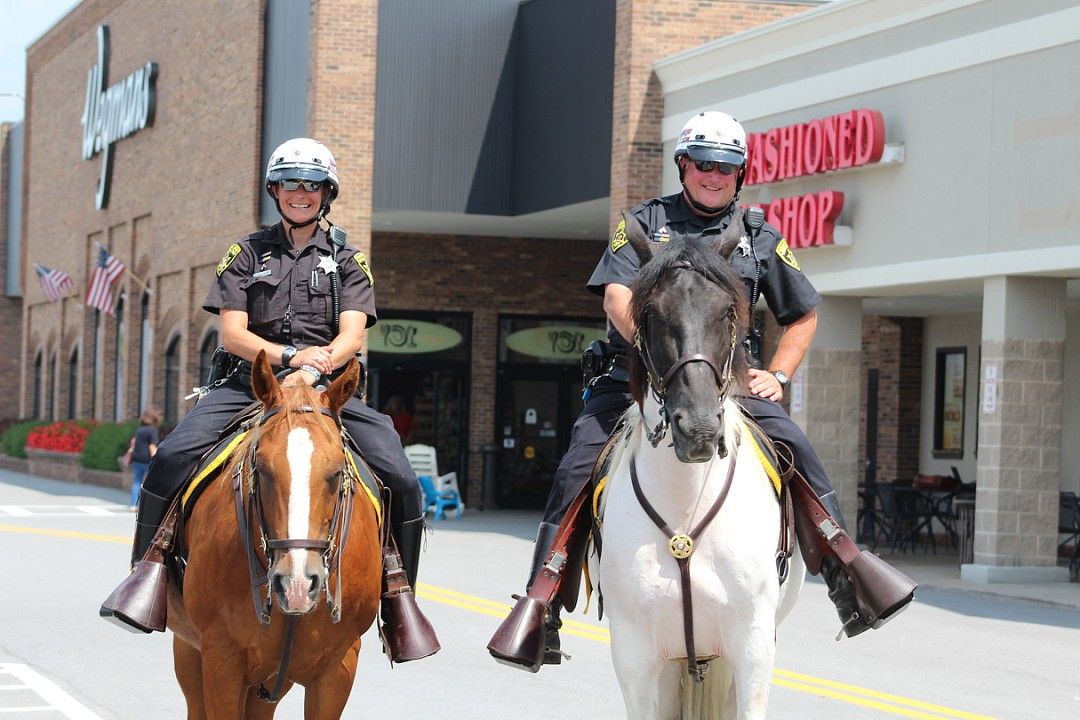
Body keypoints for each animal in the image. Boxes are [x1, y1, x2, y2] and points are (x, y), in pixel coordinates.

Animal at [164, 351, 384, 716]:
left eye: (337, 472)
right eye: (262, 469)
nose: (297, 584)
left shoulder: (339, 667)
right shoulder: (220, 661)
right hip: (190, 653)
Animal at [591, 227, 803, 716]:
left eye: (728, 311)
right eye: (650, 313)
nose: (700, 428)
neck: (685, 512)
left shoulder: (753, 648)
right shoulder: (635, 658)